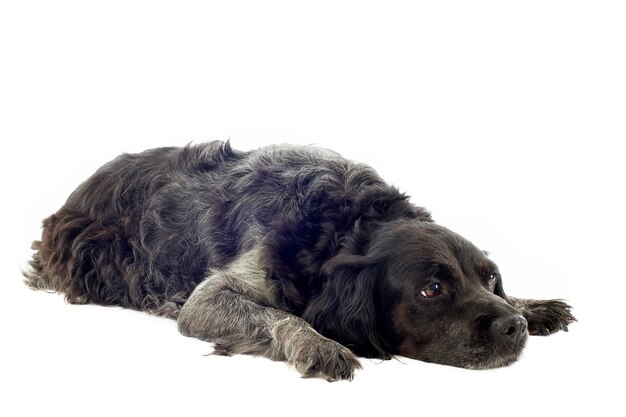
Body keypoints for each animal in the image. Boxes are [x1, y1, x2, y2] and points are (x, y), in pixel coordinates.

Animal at [23, 141, 572, 380]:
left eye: (491, 279)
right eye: (431, 289)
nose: (513, 328)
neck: (341, 223)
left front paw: (534, 306)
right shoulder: (207, 299)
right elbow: (280, 316)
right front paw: (319, 343)